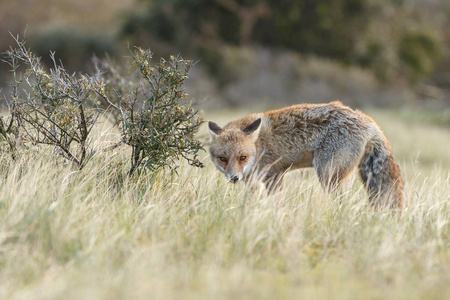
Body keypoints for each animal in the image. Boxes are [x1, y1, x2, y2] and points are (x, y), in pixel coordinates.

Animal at [210, 102, 404, 207]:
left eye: (242, 157)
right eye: (223, 159)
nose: (234, 178)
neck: (259, 146)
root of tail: (369, 121)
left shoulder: (274, 175)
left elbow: (276, 202)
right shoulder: (254, 182)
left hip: (327, 176)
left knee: (342, 204)